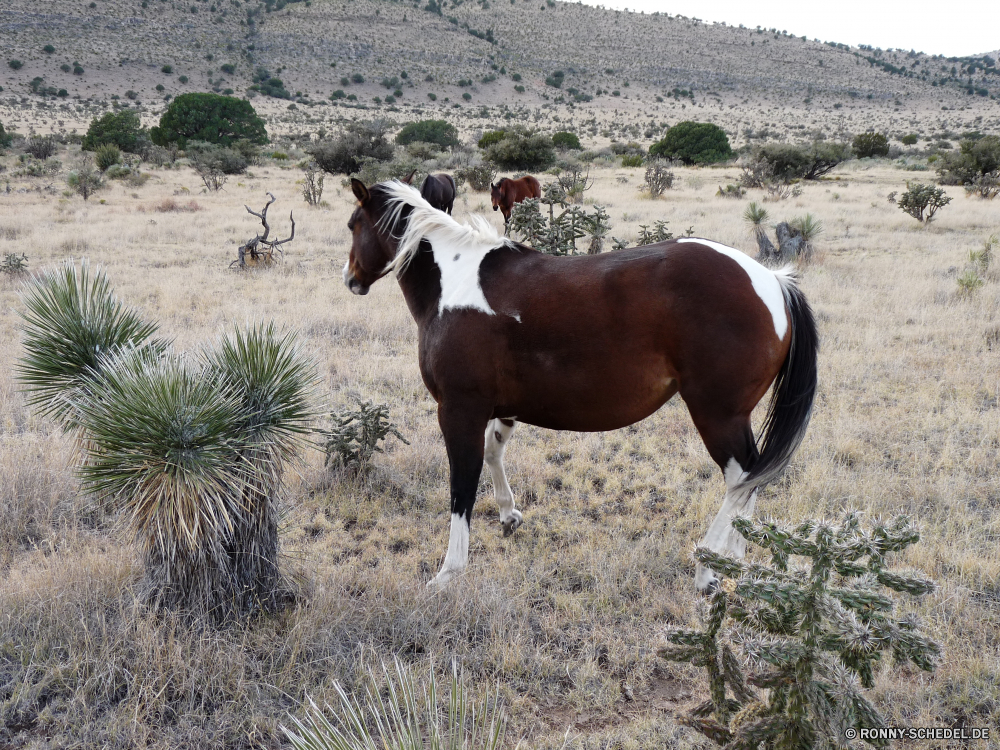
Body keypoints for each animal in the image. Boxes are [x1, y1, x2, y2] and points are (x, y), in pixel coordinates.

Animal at [344, 179, 820, 592]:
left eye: (353, 225)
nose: (352, 280)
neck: (455, 282)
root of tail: (773, 282)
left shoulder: (459, 410)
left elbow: (462, 487)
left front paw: (448, 573)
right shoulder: (502, 408)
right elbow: (494, 453)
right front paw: (509, 515)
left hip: (718, 415)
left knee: (741, 477)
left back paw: (708, 570)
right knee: (751, 479)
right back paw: (733, 558)